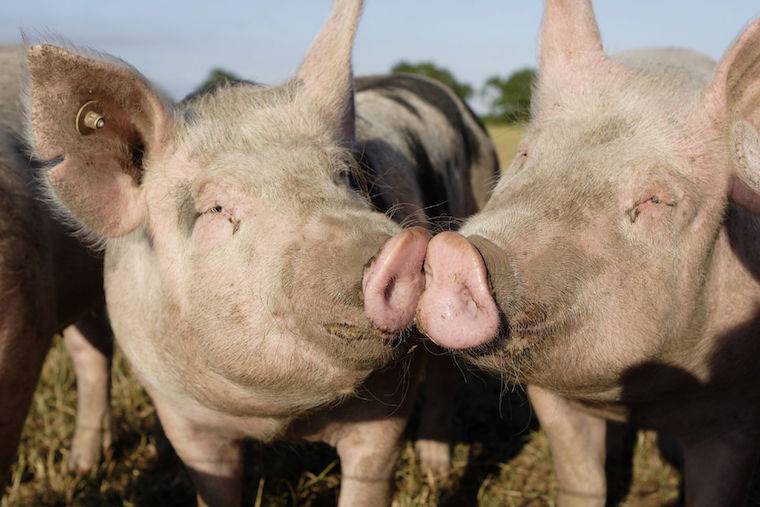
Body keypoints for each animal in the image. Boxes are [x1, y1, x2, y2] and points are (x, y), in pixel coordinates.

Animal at [21, 0, 498, 504]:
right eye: (215, 208)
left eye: (347, 177)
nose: (402, 245)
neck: (279, 420)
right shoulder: (180, 416)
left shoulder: (387, 409)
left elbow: (370, 474)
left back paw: (435, 469)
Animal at [416, 0, 760, 505]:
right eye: (525, 155)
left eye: (657, 199)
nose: (454, 250)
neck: (643, 395)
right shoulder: (551, 395)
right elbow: (581, 476)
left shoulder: (737, 417)